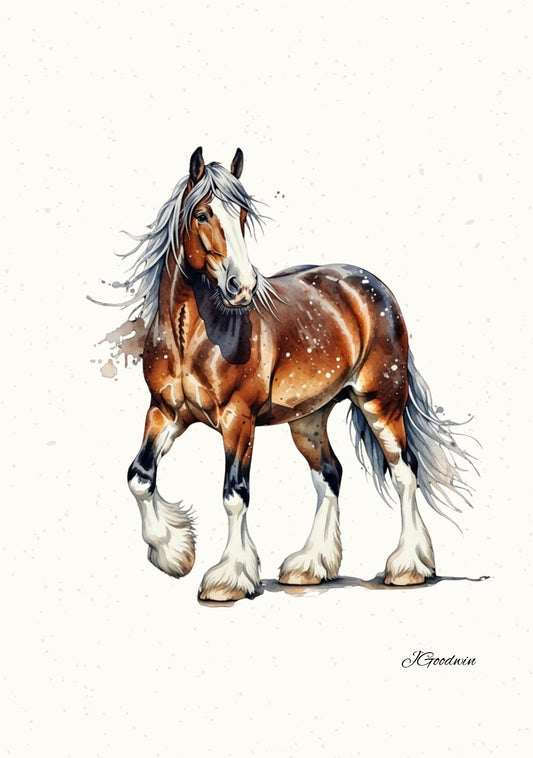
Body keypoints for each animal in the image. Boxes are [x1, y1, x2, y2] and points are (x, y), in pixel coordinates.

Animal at [111, 146, 473, 602]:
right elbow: (139, 477)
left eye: (242, 214)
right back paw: (310, 567)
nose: (242, 286)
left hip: (381, 403)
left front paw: (228, 578)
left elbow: (235, 495)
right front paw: (174, 553)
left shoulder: (238, 420)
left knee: (405, 473)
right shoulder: (164, 412)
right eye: (202, 214)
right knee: (330, 475)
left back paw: (408, 566)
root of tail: (372, 288)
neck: (191, 335)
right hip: (308, 419)